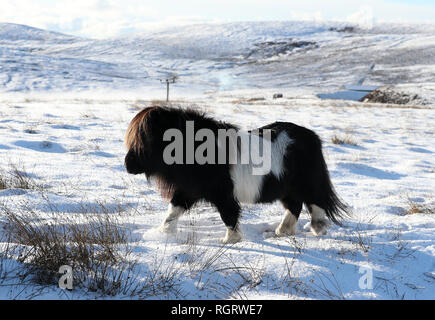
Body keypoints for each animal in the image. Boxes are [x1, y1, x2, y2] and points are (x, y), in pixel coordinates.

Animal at [124, 106, 350, 244]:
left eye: (145, 139)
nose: (127, 165)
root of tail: (313, 137)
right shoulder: (189, 190)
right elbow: (173, 211)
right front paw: (163, 235)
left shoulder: (223, 195)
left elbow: (229, 215)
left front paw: (230, 240)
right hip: (287, 190)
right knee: (295, 207)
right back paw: (282, 231)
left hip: (307, 184)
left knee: (315, 204)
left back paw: (317, 229)